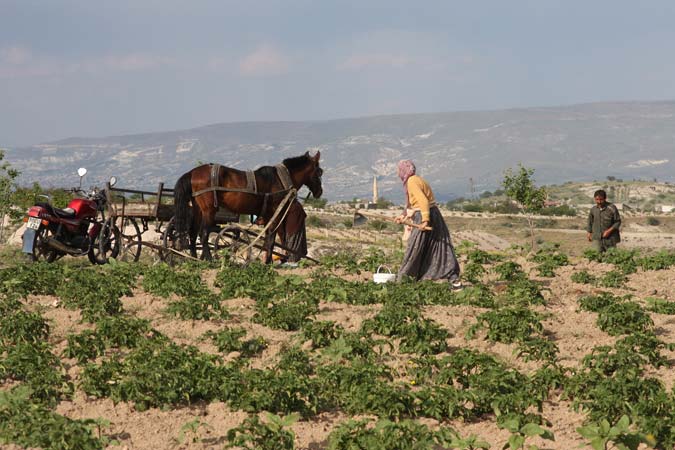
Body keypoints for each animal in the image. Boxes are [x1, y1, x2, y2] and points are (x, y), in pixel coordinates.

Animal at [173, 152, 324, 262]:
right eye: (319, 172)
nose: (319, 192)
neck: (279, 180)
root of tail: (192, 173)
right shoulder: (275, 214)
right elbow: (271, 238)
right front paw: (268, 262)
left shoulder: (268, 215)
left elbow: (267, 238)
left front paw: (265, 261)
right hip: (209, 211)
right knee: (203, 234)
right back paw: (210, 260)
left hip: (198, 210)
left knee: (192, 233)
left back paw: (193, 258)